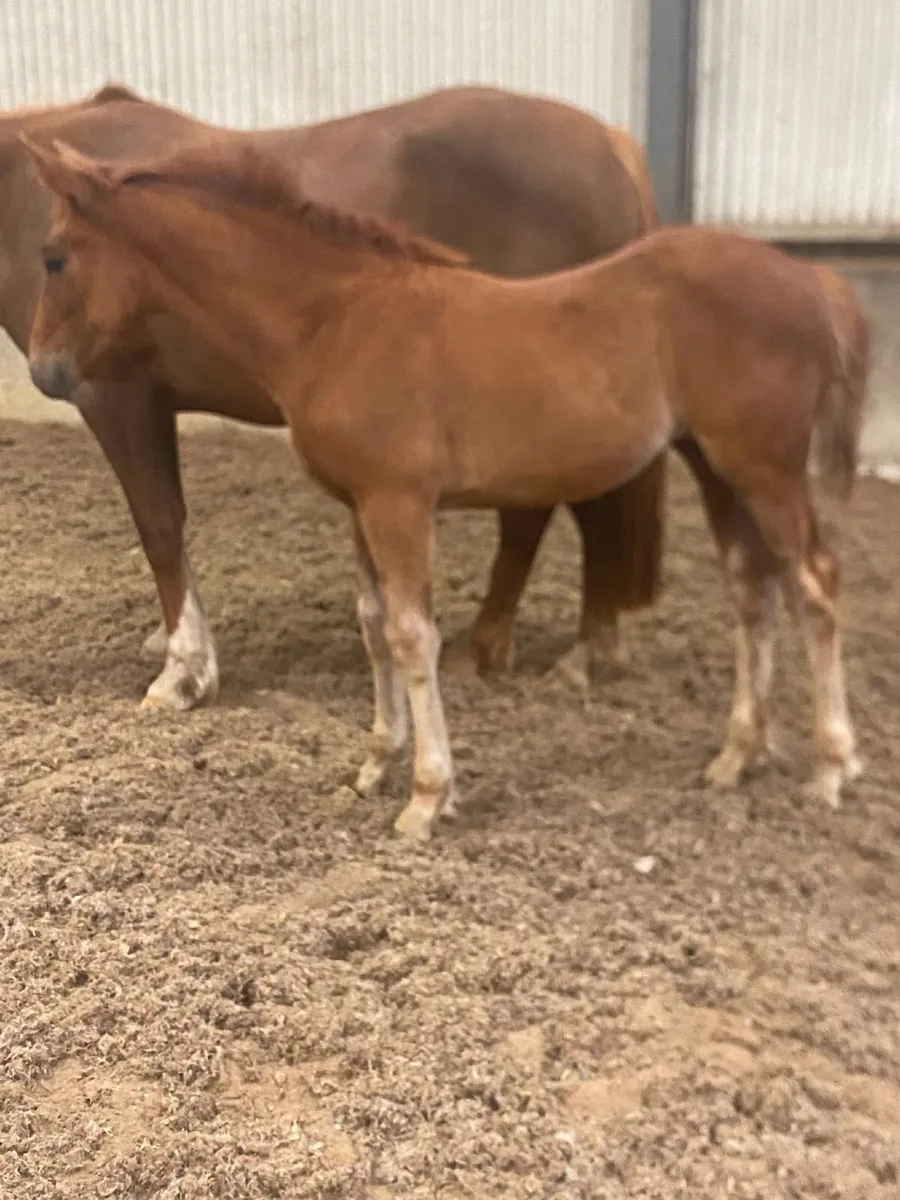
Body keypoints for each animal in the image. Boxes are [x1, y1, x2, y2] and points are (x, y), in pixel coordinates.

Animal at [1, 82, 665, 710]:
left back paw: (528, 654)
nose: (46, 370)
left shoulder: (119, 398)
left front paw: (183, 672)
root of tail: (610, 143)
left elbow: (159, 525)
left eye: (54, 259)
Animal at [23, 136, 869, 842]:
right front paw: (374, 765)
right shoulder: (358, 506)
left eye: (54, 257)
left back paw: (831, 768)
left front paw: (428, 798)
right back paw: (737, 755)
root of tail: (813, 278)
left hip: (764, 467)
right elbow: (373, 625)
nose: (43, 371)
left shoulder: (399, 503)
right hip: (717, 466)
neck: (334, 319)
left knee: (815, 584)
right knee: (751, 588)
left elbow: (410, 634)